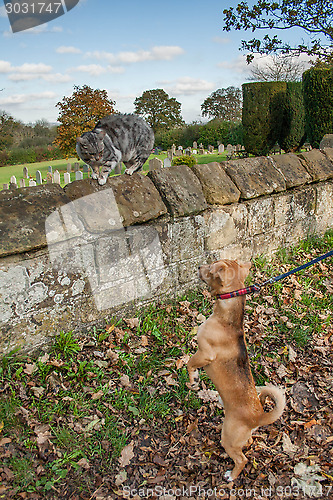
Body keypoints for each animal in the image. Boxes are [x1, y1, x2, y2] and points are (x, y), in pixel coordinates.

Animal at [187, 258, 286, 480]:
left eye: (211, 268)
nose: (198, 267)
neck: (226, 318)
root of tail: (258, 417)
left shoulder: (204, 353)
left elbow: (189, 363)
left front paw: (193, 379)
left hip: (229, 438)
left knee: (242, 459)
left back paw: (231, 475)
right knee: (246, 445)